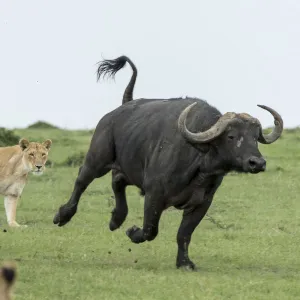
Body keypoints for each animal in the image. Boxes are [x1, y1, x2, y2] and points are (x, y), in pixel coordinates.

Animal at [53, 55, 284, 270]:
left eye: (255, 137)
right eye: (231, 136)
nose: (257, 163)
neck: (198, 164)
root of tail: (119, 110)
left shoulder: (202, 203)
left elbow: (184, 234)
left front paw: (184, 262)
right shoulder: (154, 195)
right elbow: (150, 230)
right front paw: (132, 232)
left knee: (117, 182)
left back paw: (116, 219)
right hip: (97, 159)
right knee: (82, 181)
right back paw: (63, 215)